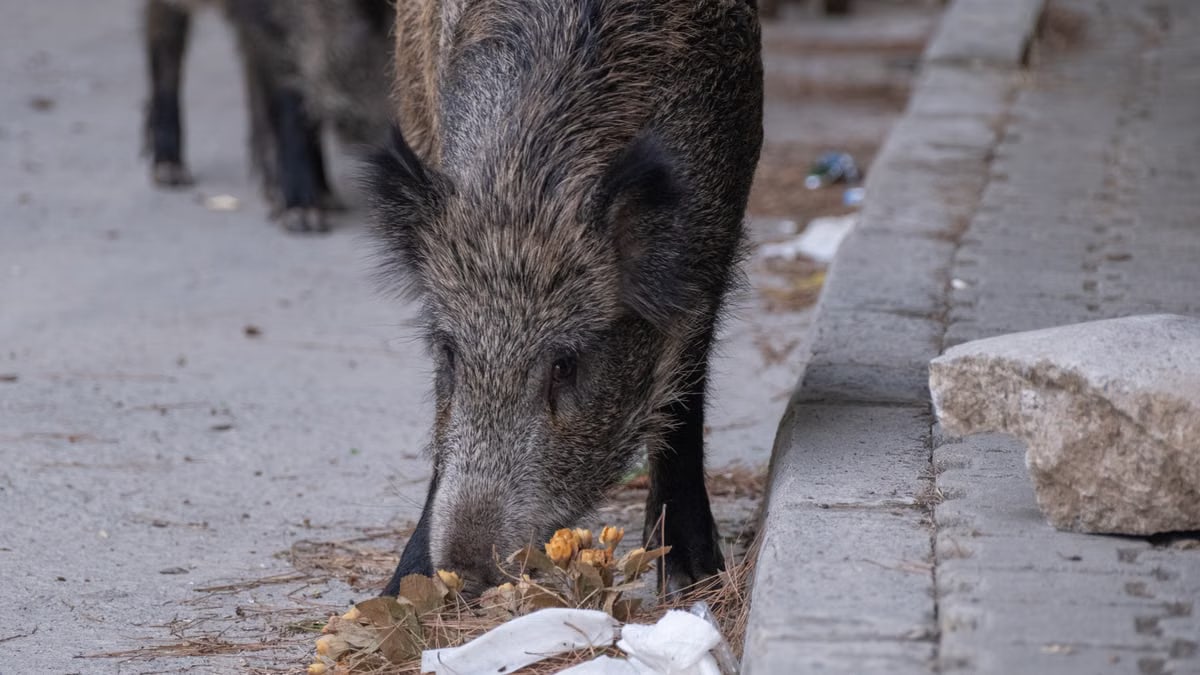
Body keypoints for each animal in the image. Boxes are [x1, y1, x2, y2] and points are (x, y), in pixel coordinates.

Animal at [142, 0, 394, 233]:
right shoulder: (276, 28)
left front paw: (321, 203)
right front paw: (303, 219)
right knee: (163, 36)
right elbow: (292, 105)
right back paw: (170, 173)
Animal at [368, 0, 764, 597]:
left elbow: (681, 397)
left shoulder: (713, 245)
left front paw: (691, 580)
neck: (523, 185)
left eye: (566, 364)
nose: (465, 572)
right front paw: (401, 590)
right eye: (451, 354)